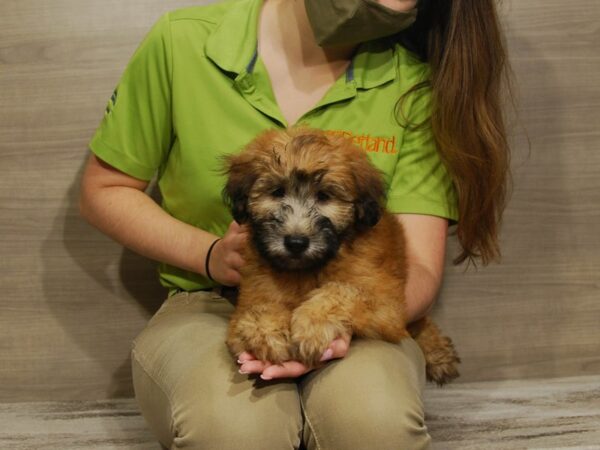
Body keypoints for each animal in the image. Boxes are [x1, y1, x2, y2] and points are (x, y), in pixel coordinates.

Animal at [224, 127, 460, 386]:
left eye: (324, 196)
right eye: (277, 192)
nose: (296, 243)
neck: (307, 268)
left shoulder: (386, 302)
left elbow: (341, 292)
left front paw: (311, 326)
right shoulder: (250, 298)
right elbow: (256, 311)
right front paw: (269, 333)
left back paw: (437, 352)